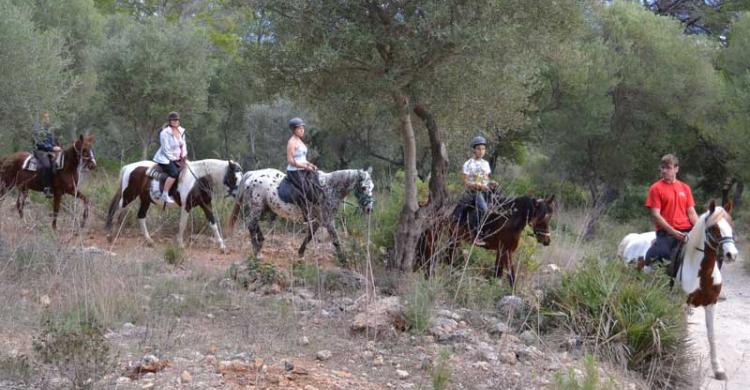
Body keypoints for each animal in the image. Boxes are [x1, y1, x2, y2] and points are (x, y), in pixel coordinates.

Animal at [103, 158, 241, 253]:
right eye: (234, 177)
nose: (236, 194)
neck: (198, 179)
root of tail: (129, 167)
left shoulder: (206, 204)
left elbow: (213, 224)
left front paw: (222, 246)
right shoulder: (186, 206)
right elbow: (182, 224)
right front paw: (180, 244)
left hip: (145, 200)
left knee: (141, 216)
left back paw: (149, 240)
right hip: (128, 196)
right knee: (117, 210)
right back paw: (111, 235)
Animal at [226, 167, 374, 262]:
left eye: (372, 187)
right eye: (363, 188)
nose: (369, 209)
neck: (329, 188)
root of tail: (252, 175)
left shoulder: (318, 220)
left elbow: (309, 235)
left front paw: (301, 254)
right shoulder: (328, 221)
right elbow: (336, 239)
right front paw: (343, 260)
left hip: (263, 208)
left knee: (254, 224)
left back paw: (260, 242)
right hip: (257, 206)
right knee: (251, 225)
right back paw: (256, 251)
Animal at [418, 193, 560, 286]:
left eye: (550, 216)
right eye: (541, 217)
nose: (546, 240)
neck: (510, 221)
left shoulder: (504, 251)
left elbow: (504, 273)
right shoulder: (505, 251)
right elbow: (505, 273)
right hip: (454, 239)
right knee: (448, 256)